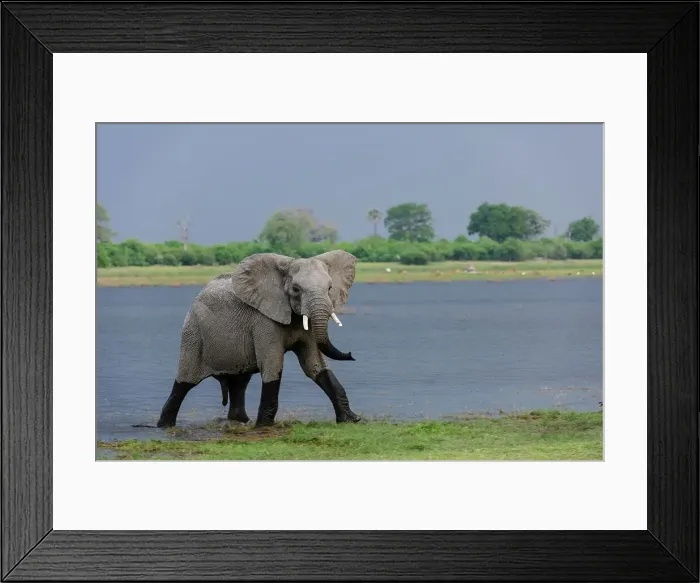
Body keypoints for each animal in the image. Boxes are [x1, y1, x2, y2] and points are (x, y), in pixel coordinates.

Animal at [157, 250, 362, 428]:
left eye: (330, 288)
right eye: (296, 289)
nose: (352, 354)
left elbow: (314, 365)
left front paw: (352, 420)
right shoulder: (264, 321)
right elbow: (273, 366)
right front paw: (264, 426)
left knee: (239, 383)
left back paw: (239, 422)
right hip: (193, 333)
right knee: (184, 383)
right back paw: (164, 426)